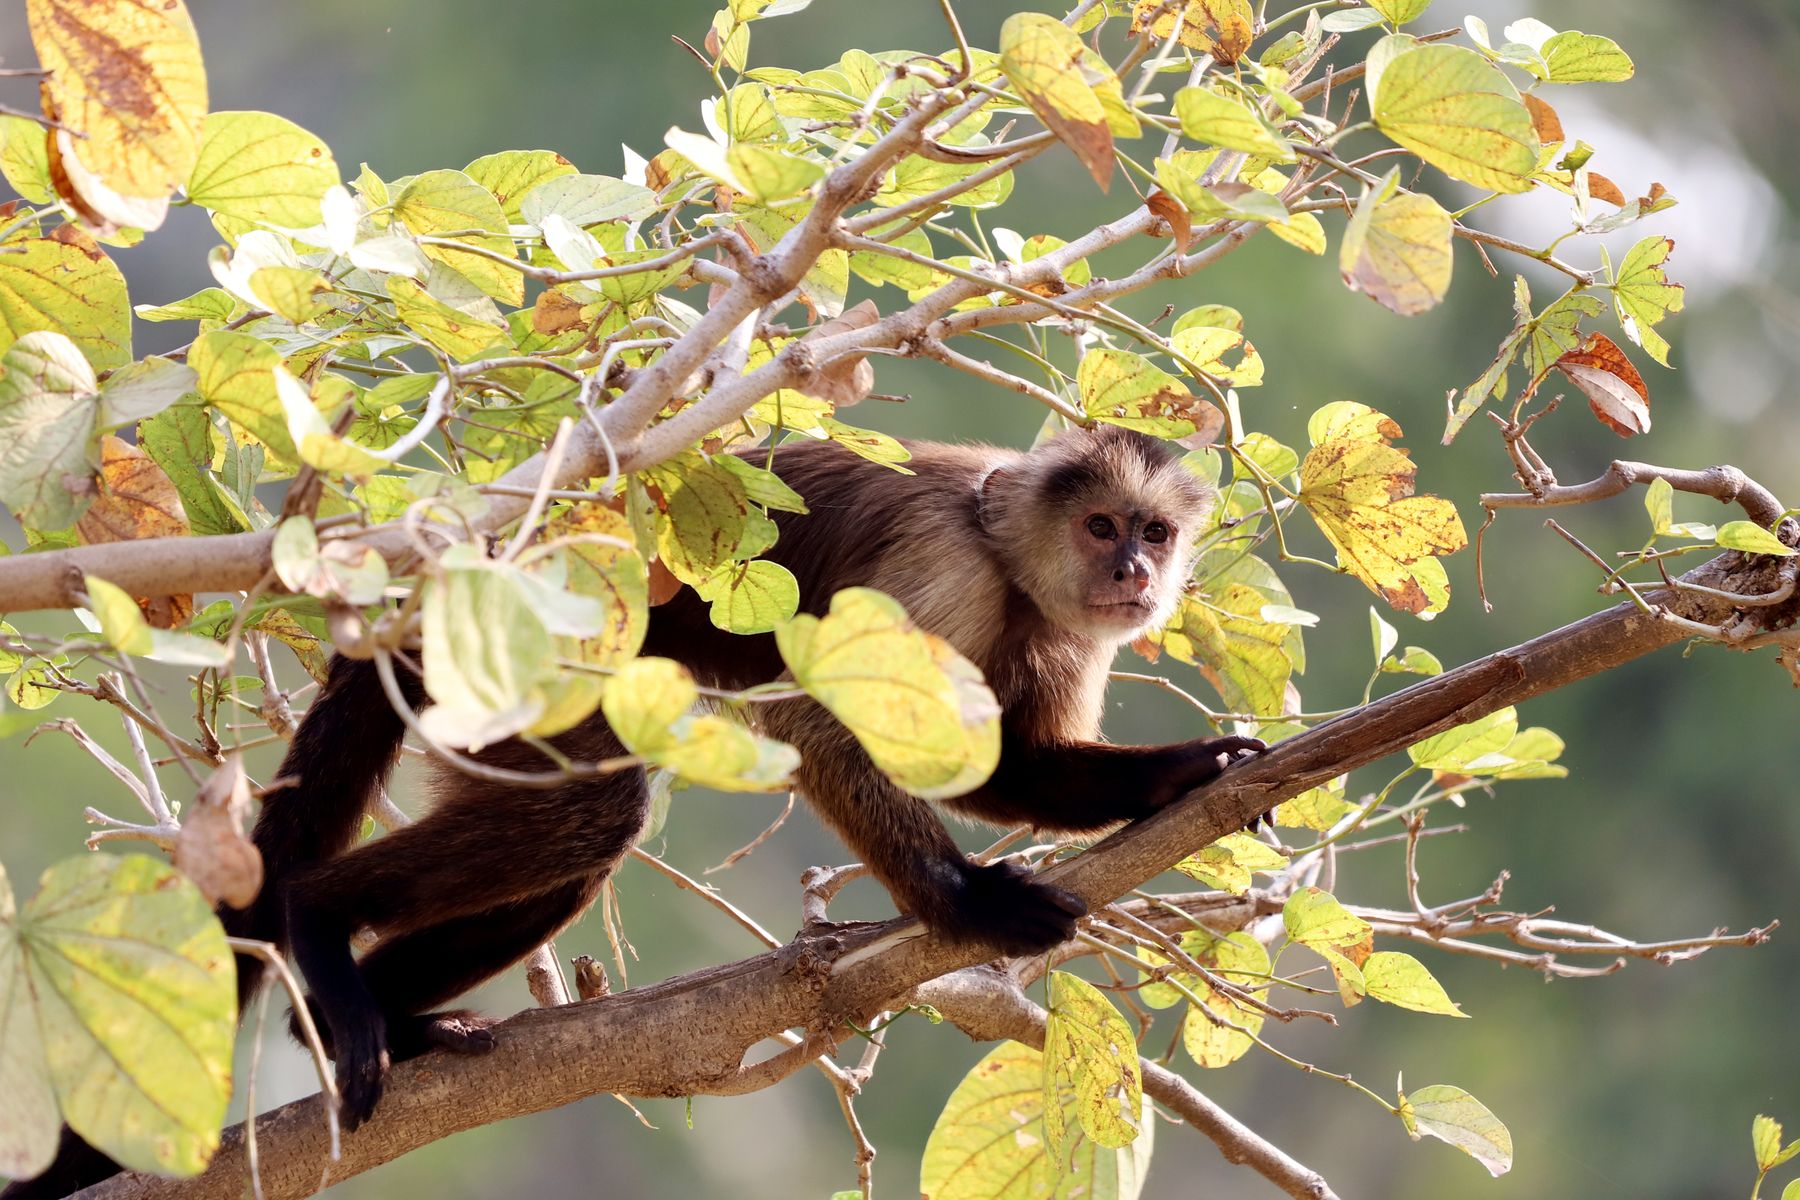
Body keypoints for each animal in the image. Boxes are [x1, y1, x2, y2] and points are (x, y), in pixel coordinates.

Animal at [2, 425, 1263, 1198]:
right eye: (1103, 527)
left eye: (1154, 534)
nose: (1136, 575)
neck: (1014, 569)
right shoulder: (943, 568)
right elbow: (826, 734)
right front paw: (968, 908)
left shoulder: (1070, 633)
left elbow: (1007, 766)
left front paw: (1185, 776)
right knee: (591, 813)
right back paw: (317, 925)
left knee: (575, 841)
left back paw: (396, 1017)